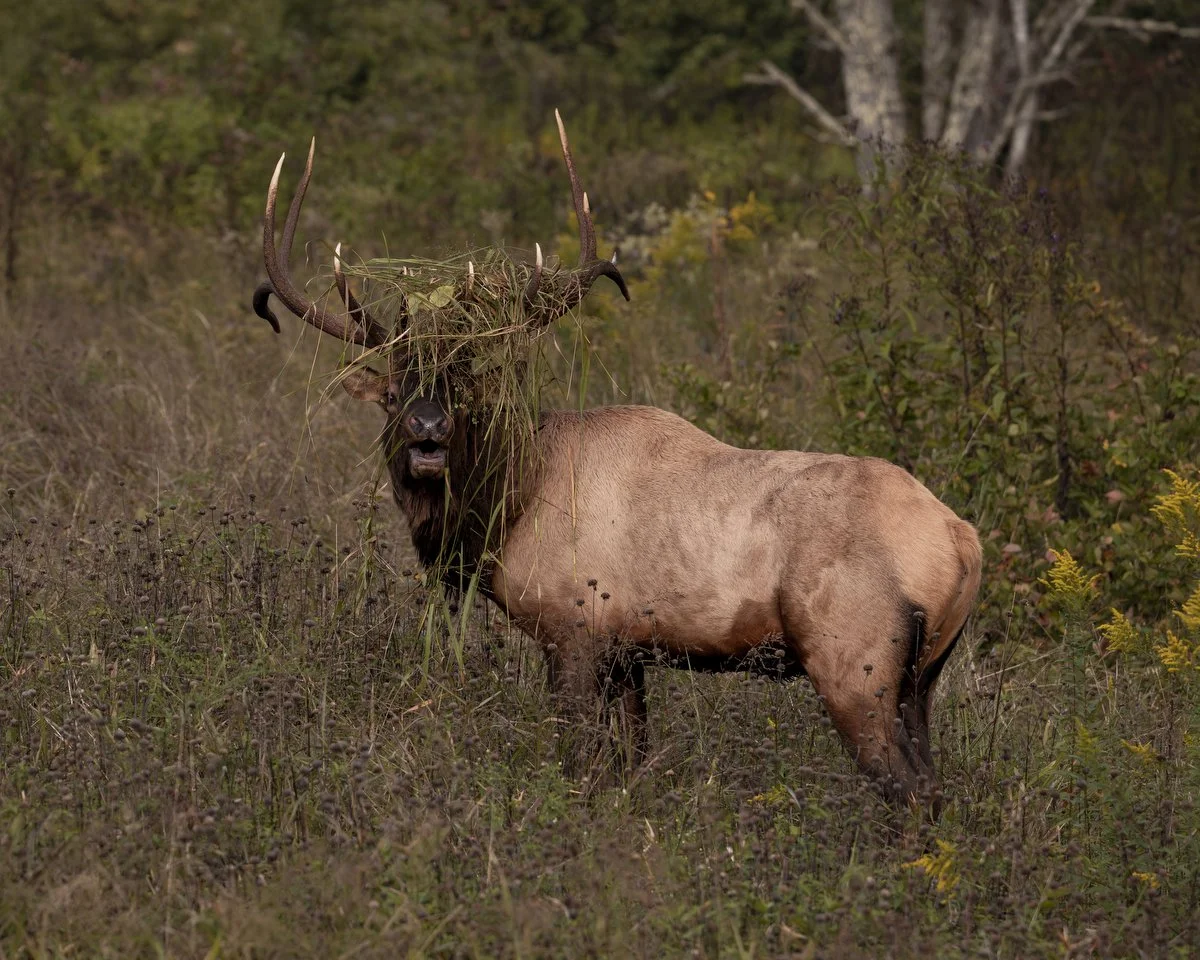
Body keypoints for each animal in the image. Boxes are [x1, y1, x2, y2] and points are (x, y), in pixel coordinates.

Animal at [251, 112, 982, 815]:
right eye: (396, 389)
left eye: (468, 385)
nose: (427, 430)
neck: (506, 511)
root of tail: (963, 541)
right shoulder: (630, 652)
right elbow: (633, 767)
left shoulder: (574, 632)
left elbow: (581, 770)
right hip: (921, 679)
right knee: (937, 786)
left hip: (853, 661)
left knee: (910, 792)